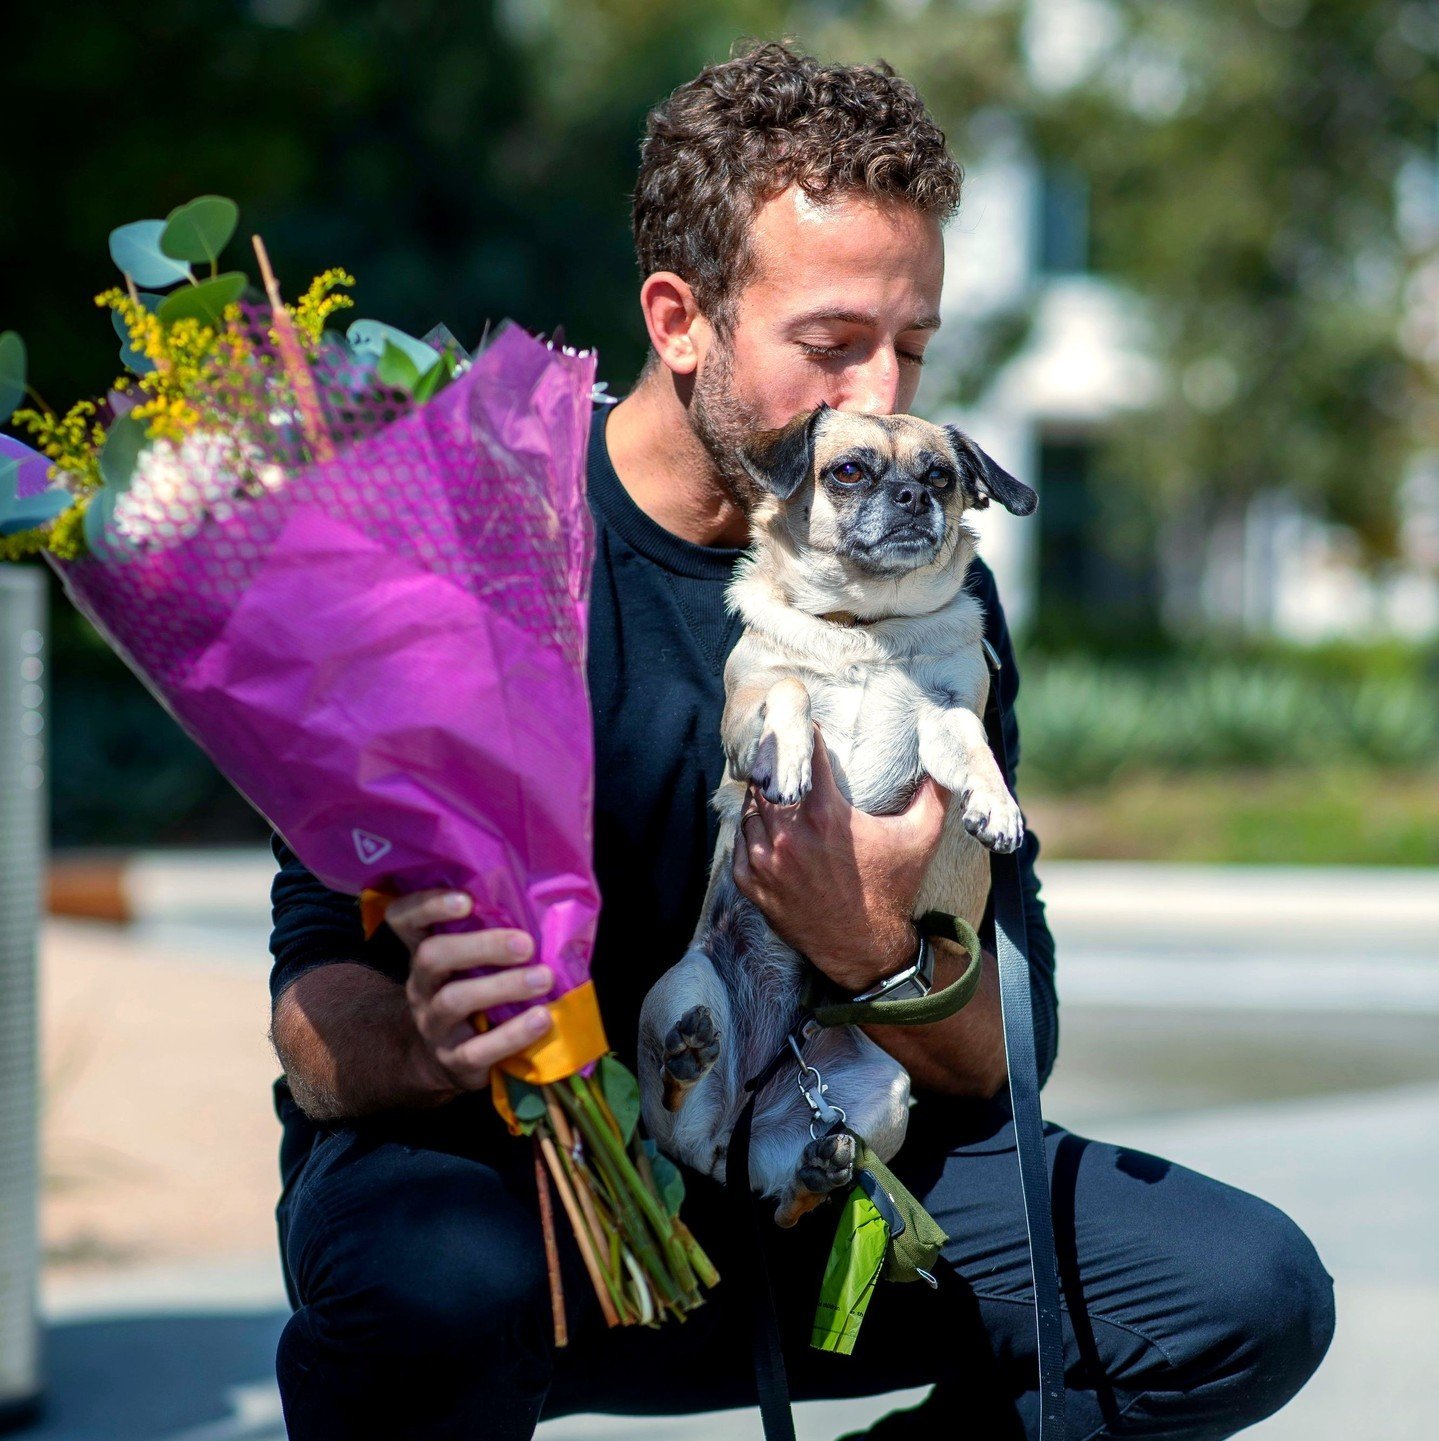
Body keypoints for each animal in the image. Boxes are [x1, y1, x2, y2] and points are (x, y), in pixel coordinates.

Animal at [639, 406, 1037, 1227]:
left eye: (940, 477)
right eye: (848, 472)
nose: (913, 496)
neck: (862, 625)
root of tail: (737, 1128)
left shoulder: (944, 717)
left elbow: (971, 740)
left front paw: (994, 804)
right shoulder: (742, 712)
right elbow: (788, 688)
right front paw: (790, 760)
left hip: (883, 1093)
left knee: (792, 1202)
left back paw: (818, 1168)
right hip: (679, 991)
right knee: (668, 1109)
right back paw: (688, 1062)